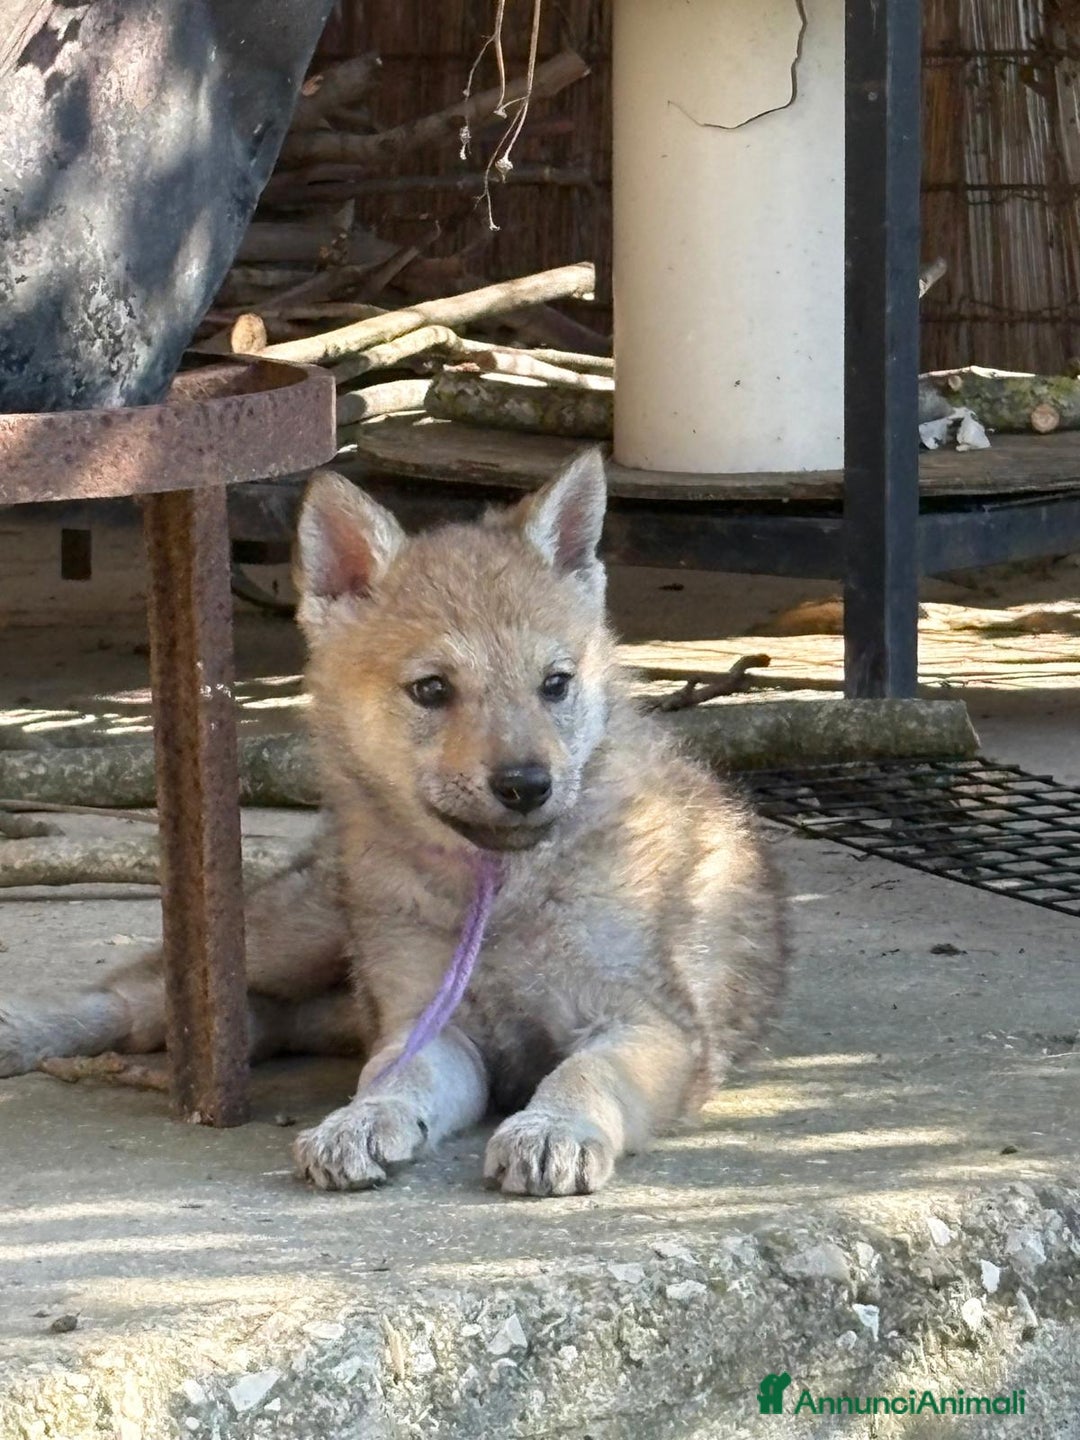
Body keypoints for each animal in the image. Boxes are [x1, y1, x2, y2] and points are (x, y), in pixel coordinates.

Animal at [0, 449, 788, 1195]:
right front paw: (362, 1120)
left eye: (555, 684)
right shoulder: (431, 1028)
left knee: (255, 1018)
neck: (502, 895)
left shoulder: (648, 1024)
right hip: (291, 936)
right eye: (432, 690)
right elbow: (395, 1078)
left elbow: (581, 1075)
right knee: (137, 995)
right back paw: (28, 1031)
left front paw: (553, 1130)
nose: (527, 785)